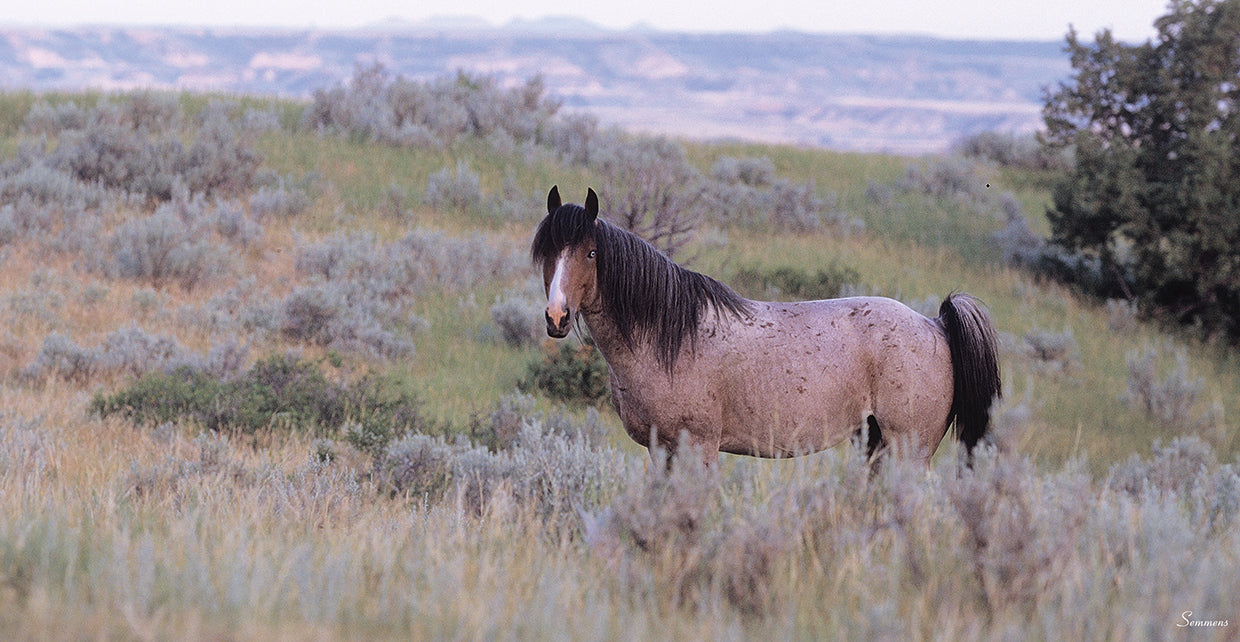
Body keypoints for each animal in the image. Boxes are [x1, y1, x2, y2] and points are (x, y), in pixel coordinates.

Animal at [531, 186, 1002, 466]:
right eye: (548, 251)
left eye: (592, 253)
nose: (557, 317)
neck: (669, 338)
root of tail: (935, 324)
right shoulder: (660, 449)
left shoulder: (698, 447)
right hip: (877, 444)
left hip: (907, 448)